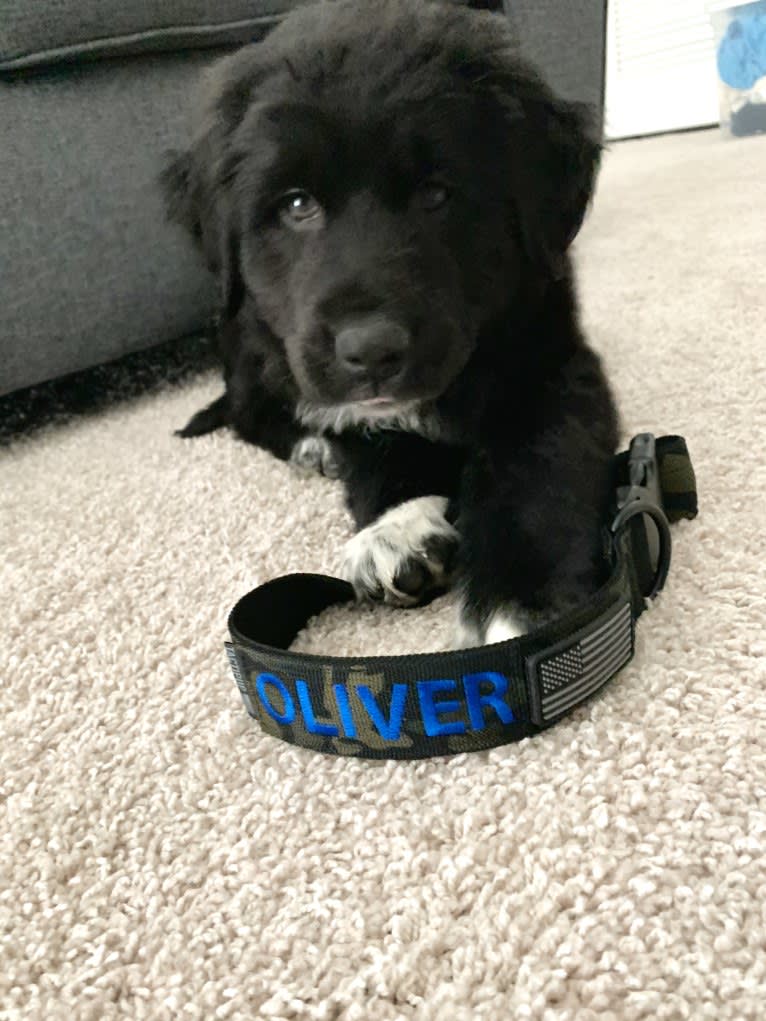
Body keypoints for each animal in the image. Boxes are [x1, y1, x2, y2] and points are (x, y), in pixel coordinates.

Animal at [165, 0, 620, 641]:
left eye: (436, 193)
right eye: (297, 204)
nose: (372, 351)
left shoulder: (553, 368)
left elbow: (537, 469)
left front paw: (518, 609)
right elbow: (375, 447)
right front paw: (398, 530)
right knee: (247, 411)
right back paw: (311, 446)